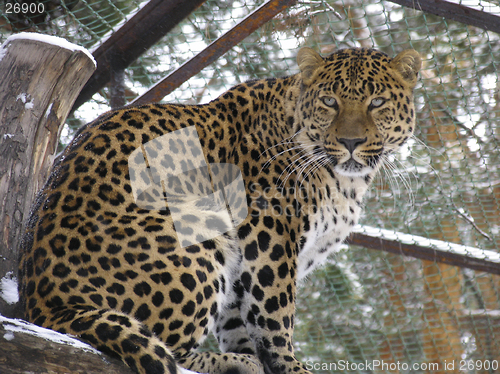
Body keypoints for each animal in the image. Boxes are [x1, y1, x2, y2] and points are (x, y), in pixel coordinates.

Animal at [17, 46, 420, 374]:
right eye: (329, 101)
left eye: (377, 103)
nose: (351, 142)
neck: (344, 179)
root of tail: (45, 307)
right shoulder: (270, 230)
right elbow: (276, 312)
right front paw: (287, 364)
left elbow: (240, 314)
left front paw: (252, 353)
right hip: (197, 224)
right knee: (170, 348)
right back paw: (233, 362)